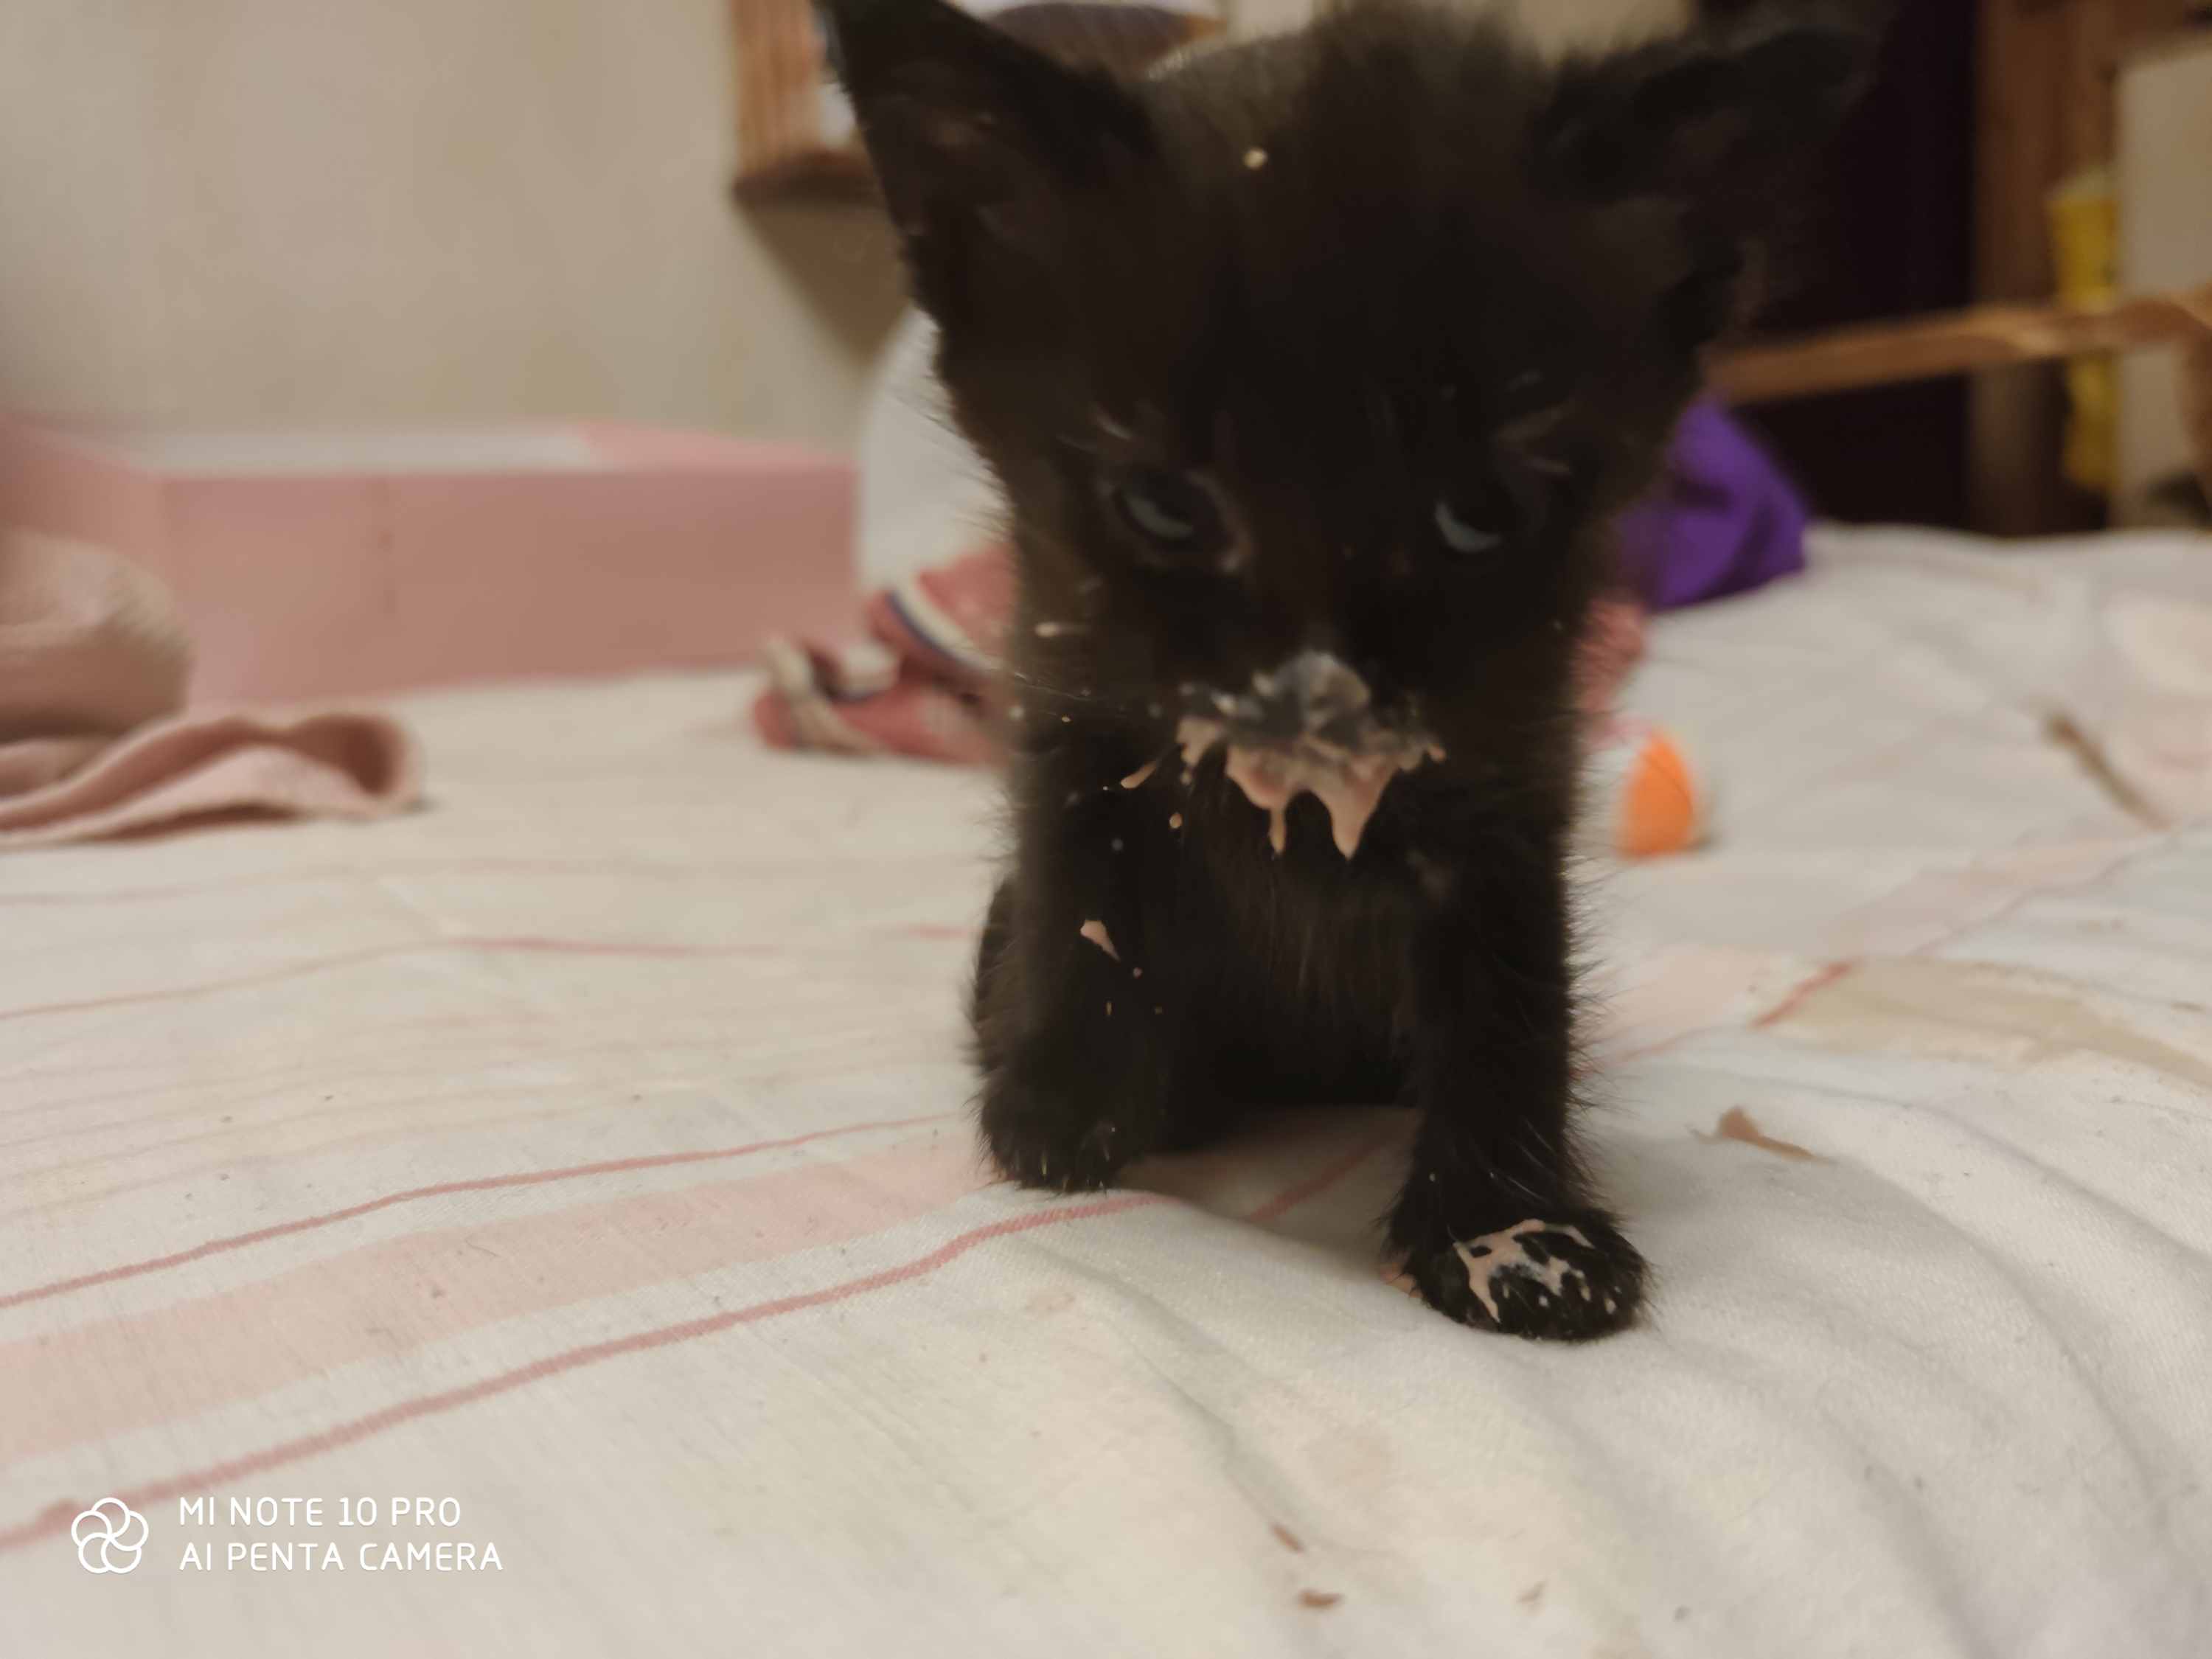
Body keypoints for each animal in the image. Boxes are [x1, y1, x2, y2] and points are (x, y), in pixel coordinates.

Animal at [823, 0, 1870, 1337]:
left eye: (1480, 512)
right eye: (1165, 507)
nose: (1313, 700)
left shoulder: (1510, 792)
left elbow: (1511, 997)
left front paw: (1508, 1227)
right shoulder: (1072, 732)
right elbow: (1083, 901)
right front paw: (1064, 1108)